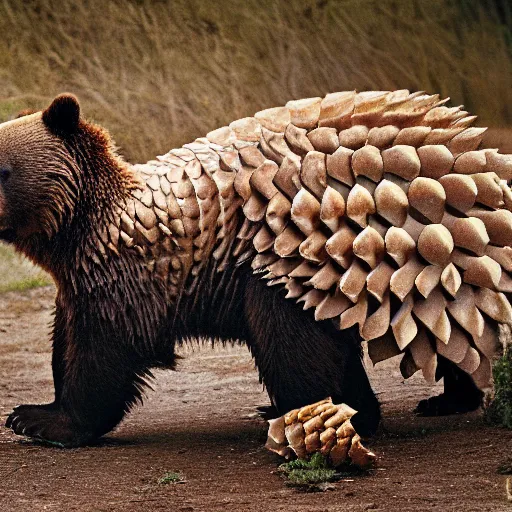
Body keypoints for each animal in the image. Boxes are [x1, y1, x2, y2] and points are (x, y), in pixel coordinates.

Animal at [1, 94, 496, 446]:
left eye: (4, 169)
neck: (87, 224)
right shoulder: (81, 281)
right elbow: (67, 342)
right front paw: (39, 410)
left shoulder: (133, 280)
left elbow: (106, 356)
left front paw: (44, 422)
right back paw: (440, 399)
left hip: (318, 257)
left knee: (292, 346)